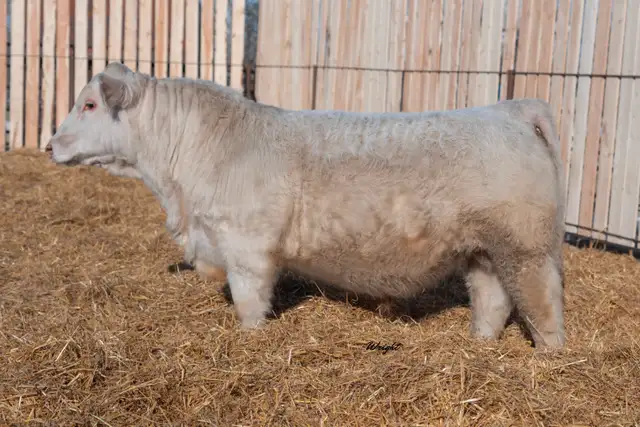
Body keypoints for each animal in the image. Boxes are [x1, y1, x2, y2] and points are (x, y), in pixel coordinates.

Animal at [46, 62, 566, 349]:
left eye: (89, 104)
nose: (49, 145)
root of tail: (510, 109)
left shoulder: (248, 250)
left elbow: (249, 303)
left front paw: (251, 340)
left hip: (527, 247)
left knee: (543, 304)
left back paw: (549, 358)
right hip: (485, 249)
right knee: (492, 299)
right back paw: (480, 343)